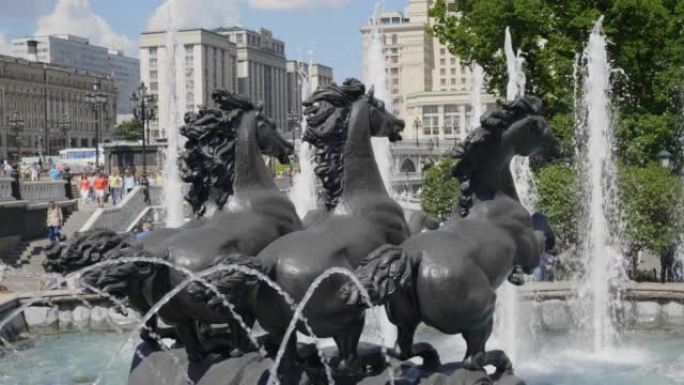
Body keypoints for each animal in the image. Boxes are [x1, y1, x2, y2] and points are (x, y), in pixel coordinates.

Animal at [342, 97, 560, 372]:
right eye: (542, 127)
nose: (559, 147)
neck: (487, 199)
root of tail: (411, 256)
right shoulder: (529, 251)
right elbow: (541, 222)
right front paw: (547, 250)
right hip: (482, 311)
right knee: (473, 359)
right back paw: (504, 365)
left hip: (405, 318)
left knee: (402, 349)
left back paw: (432, 360)